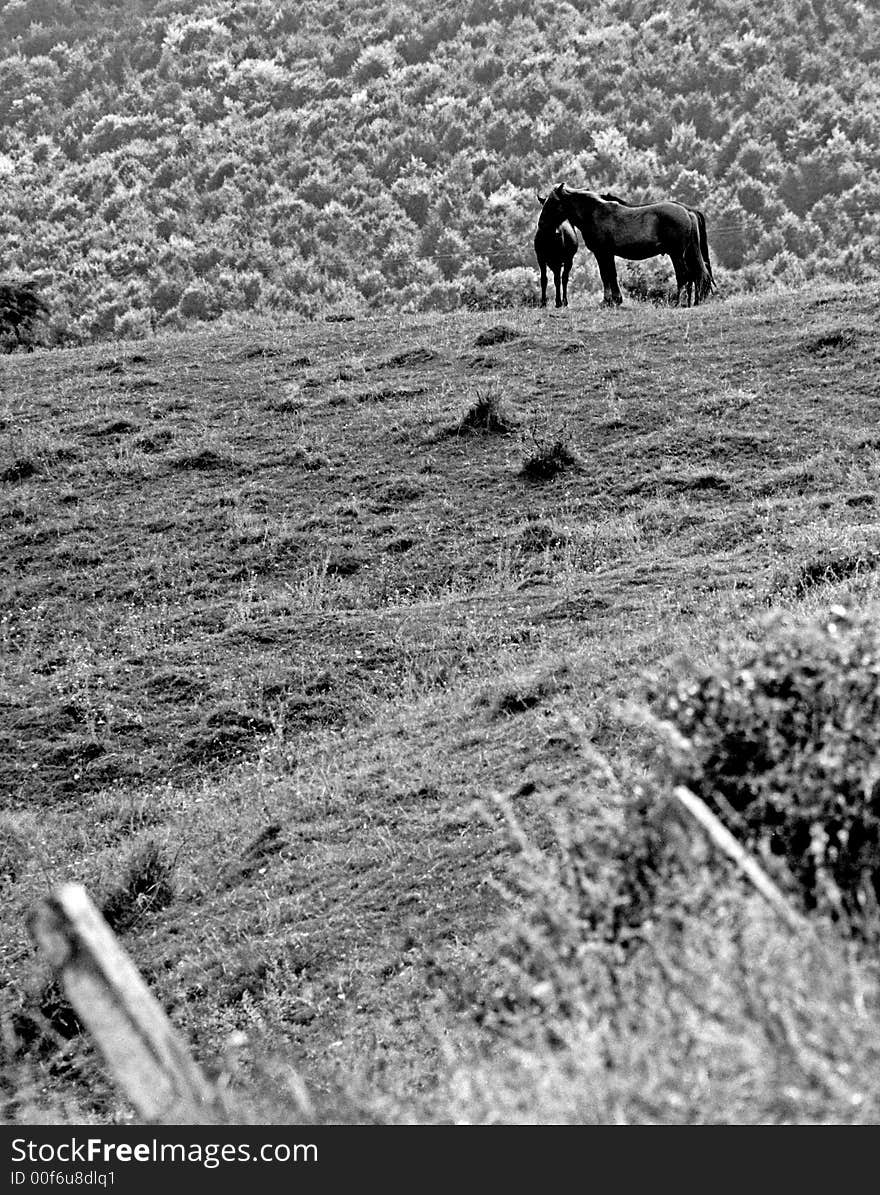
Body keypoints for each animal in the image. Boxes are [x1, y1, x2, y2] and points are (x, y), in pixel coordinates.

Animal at [547, 182, 712, 308]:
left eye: (553, 201)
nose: (543, 221)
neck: (595, 213)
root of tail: (687, 211)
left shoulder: (602, 253)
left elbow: (605, 275)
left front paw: (607, 301)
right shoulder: (608, 254)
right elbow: (611, 274)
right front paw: (615, 300)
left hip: (676, 254)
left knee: (684, 275)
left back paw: (680, 303)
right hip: (687, 253)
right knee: (695, 275)